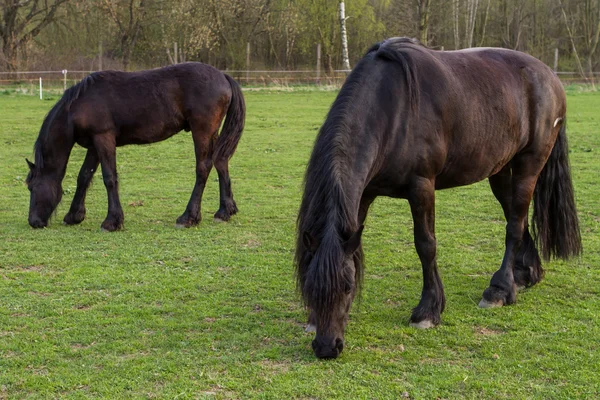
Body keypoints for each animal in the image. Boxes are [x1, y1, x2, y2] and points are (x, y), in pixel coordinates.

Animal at [25, 62, 246, 231]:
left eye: (31, 187)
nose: (33, 221)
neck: (78, 106)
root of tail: (223, 76)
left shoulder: (104, 139)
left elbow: (109, 178)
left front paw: (112, 221)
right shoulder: (94, 145)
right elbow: (84, 177)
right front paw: (74, 215)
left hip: (201, 131)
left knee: (203, 168)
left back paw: (188, 217)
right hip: (212, 134)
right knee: (220, 162)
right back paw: (224, 211)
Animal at [296, 38, 580, 360]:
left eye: (347, 286)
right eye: (308, 283)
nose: (326, 347)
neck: (390, 110)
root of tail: (549, 76)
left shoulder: (421, 186)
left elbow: (425, 245)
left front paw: (428, 311)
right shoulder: (364, 195)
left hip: (528, 166)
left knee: (514, 226)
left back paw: (499, 290)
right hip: (500, 171)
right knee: (515, 217)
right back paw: (526, 274)